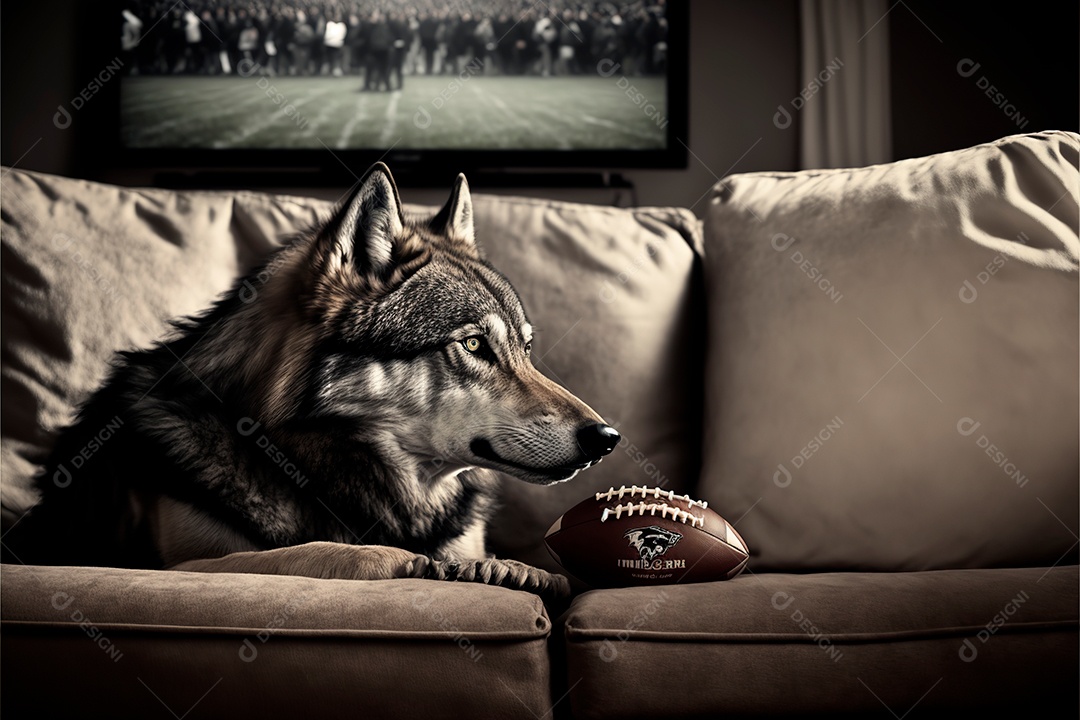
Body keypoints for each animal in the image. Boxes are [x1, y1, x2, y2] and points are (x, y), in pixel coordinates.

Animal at [4, 163, 620, 600]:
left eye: (526, 349)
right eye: (472, 346)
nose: (607, 438)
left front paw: (509, 567)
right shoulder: (180, 565)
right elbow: (315, 552)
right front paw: (411, 562)